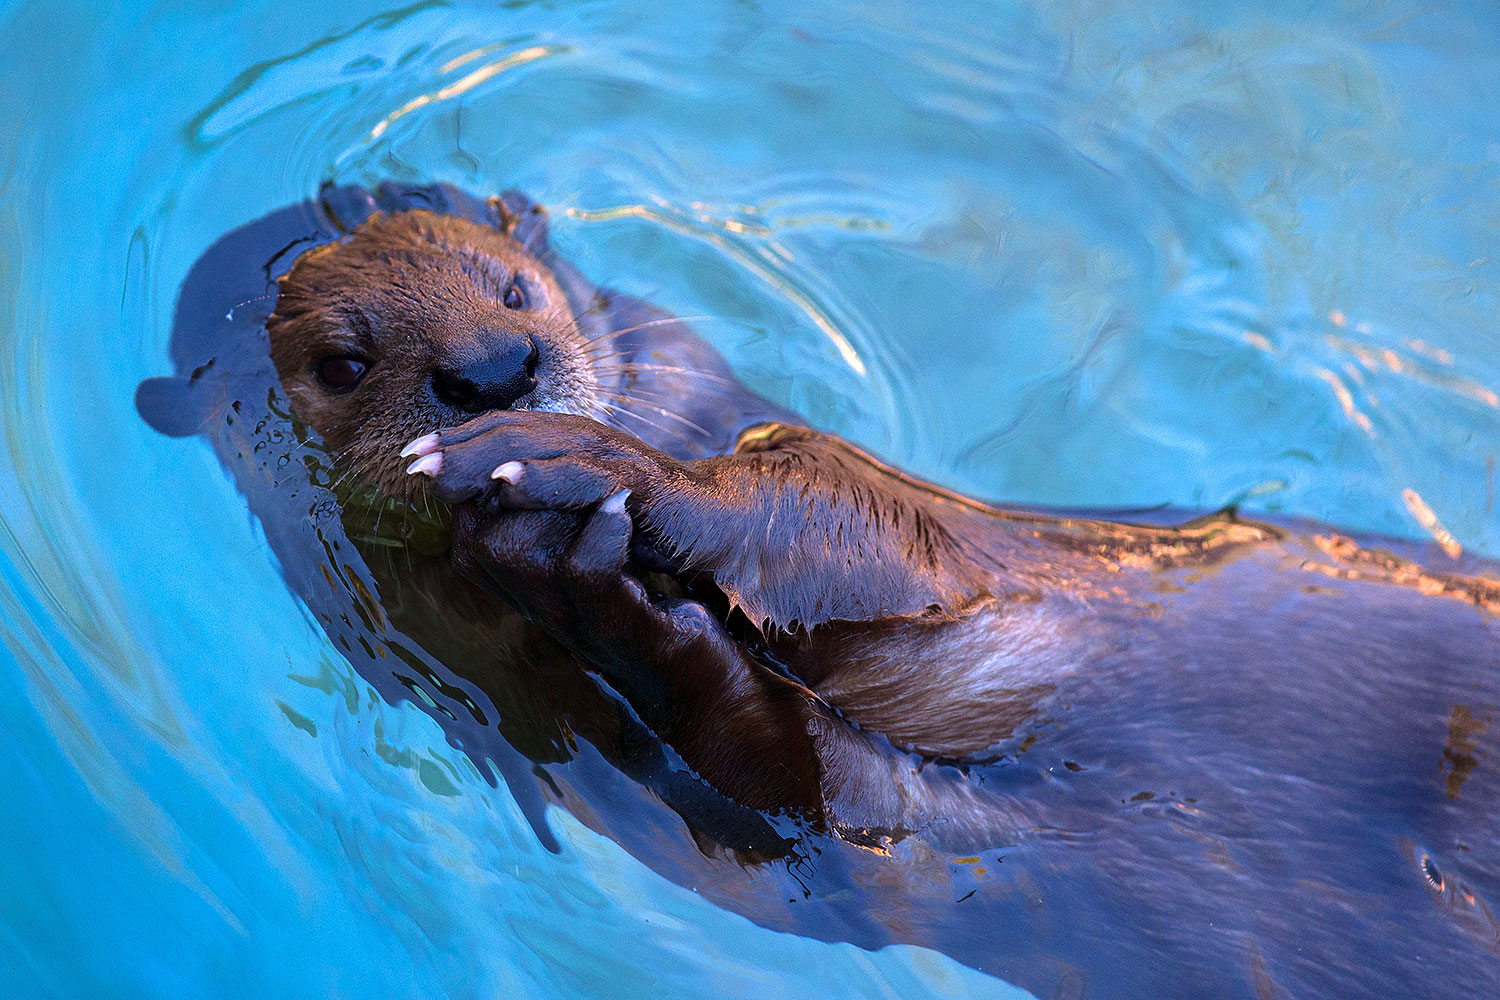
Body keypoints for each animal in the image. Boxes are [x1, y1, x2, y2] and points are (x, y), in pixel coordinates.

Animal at [139, 183, 1500, 999]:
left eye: (513, 288)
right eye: (342, 362)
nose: (493, 368)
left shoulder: (958, 547)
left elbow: (843, 518)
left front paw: (588, 471)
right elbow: (787, 794)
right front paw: (590, 588)